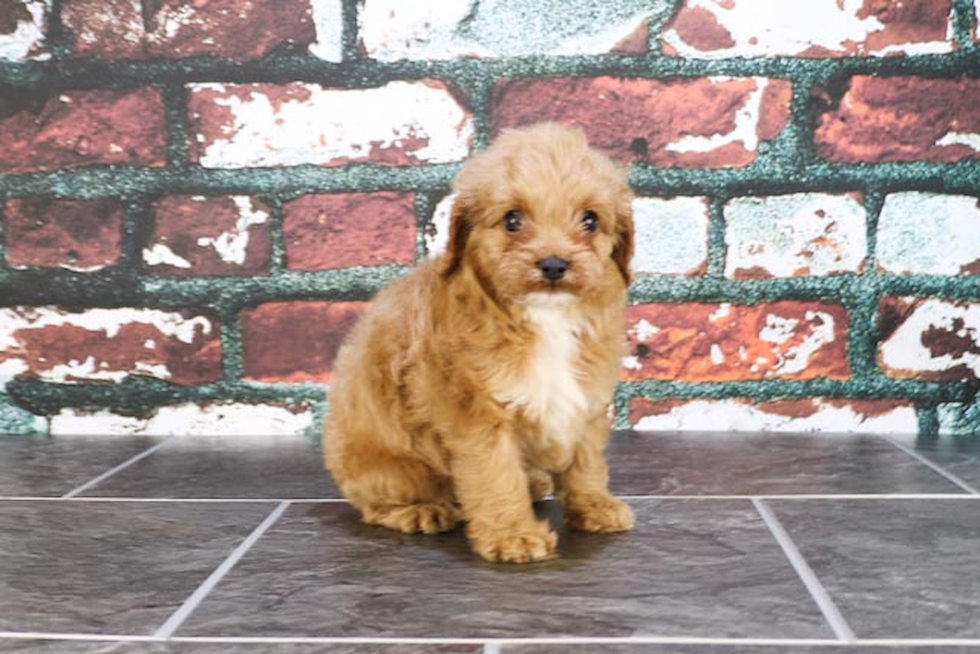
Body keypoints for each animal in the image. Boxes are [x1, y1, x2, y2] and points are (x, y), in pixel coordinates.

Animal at [326, 123, 636, 564]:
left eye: (590, 220)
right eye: (512, 220)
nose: (554, 264)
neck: (544, 317)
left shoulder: (586, 397)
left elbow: (585, 459)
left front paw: (594, 505)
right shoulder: (474, 411)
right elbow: (495, 473)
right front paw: (513, 536)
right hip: (388, 467)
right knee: (376, 501)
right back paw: (420, 510)